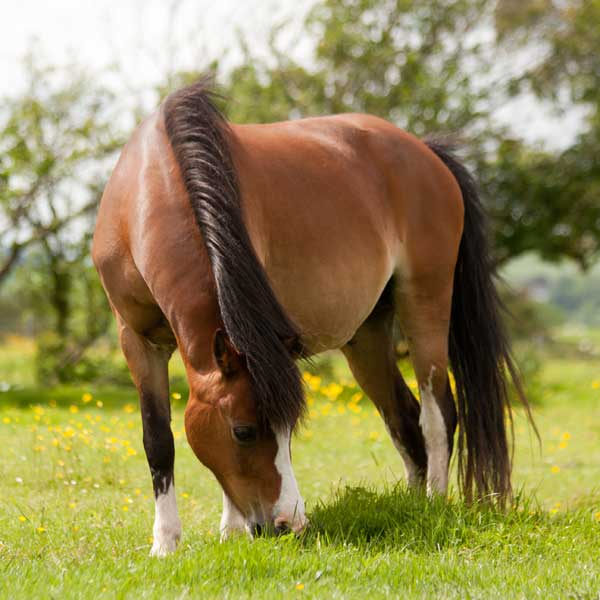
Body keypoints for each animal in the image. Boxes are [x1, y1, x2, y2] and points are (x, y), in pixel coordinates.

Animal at [92, 77, 524, 556]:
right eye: (244, 431)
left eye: (288, 432)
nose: (289, 524)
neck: (149, 188)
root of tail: (427, 154)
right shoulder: (136, 340)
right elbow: (158, 439)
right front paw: (167, 543)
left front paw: (228, 529)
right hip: (366, 338)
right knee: (404, 417)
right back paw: (411, 505)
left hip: (426, 303)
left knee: (437, 414)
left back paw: (434, 503)